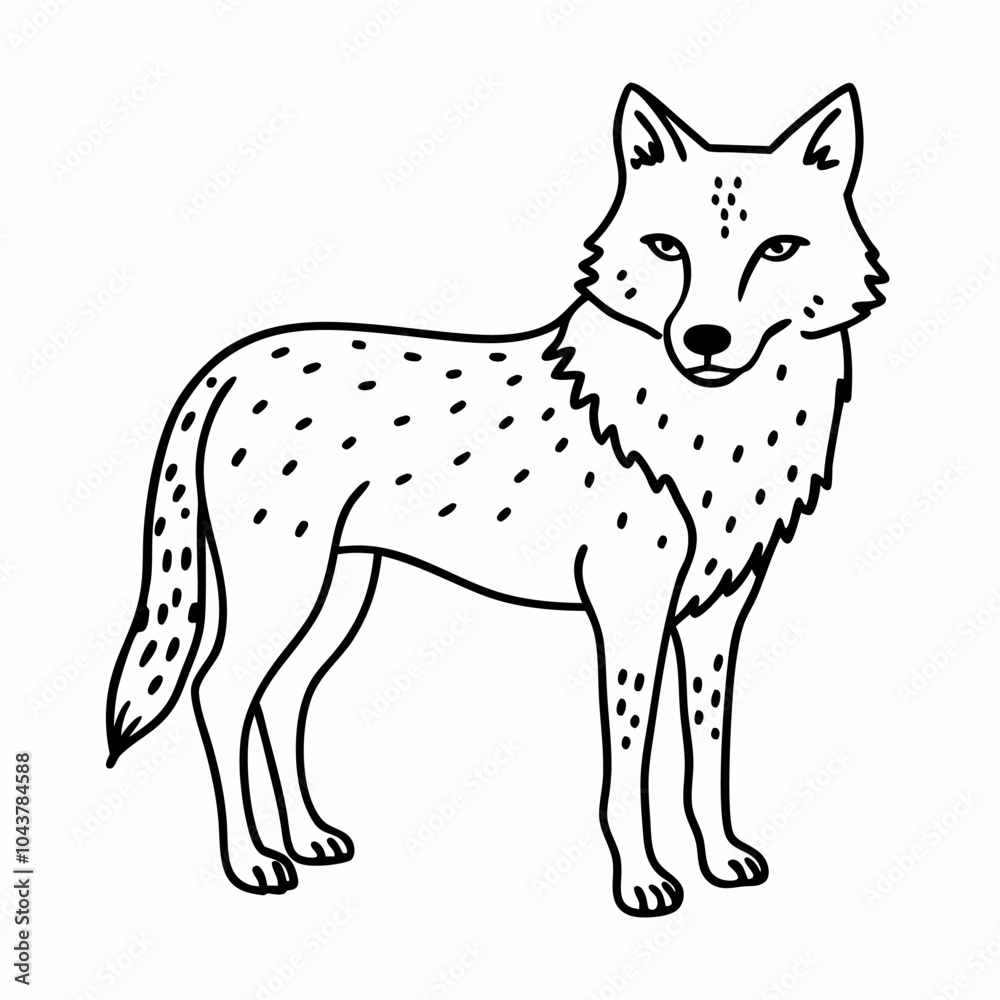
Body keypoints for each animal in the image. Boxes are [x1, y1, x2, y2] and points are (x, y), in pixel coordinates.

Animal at [105, 83, 887, 916]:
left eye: (778, 248)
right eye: (666, 247)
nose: (705, 339)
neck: (715, 424)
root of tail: (228, 363)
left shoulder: (715, 616)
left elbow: (707, 750)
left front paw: (721, 856)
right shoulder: (628, 613)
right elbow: (631, 760)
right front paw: (641, 880)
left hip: (338, 594)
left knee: (281, 700)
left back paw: (307, 839)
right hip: (287, 587)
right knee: (219, 693)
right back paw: (252, 861)